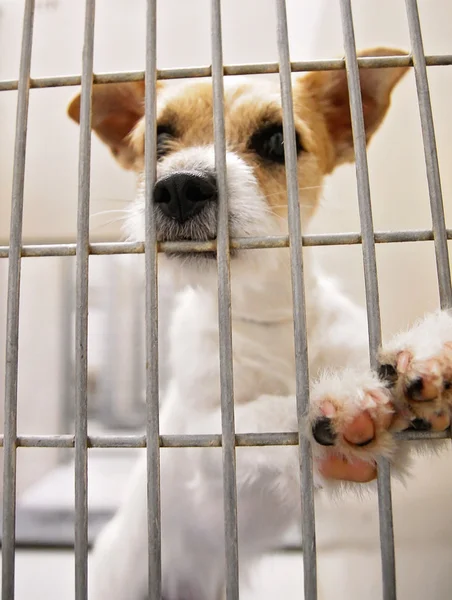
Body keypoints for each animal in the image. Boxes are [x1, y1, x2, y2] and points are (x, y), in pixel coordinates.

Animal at [68, 48, 452, 600]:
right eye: (156, 140)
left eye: (276, 141)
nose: (180, 186)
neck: (270, 318)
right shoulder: (206, 452)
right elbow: (260, 417)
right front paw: (338, 406)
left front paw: (428, 358)